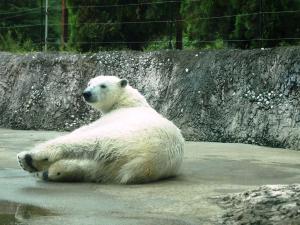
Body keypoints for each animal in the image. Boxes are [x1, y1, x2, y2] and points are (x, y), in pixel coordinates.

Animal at [18, 76, 185, 184]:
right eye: (89, 82)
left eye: (103, 85)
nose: (86, 93)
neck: (129, 101)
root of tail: (147, 160)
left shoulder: (115, 117)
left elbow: (83, 130)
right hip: (114, 165)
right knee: (90, 167)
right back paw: (52, 172)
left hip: (125, 137)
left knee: (88, 142)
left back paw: (31, 160)